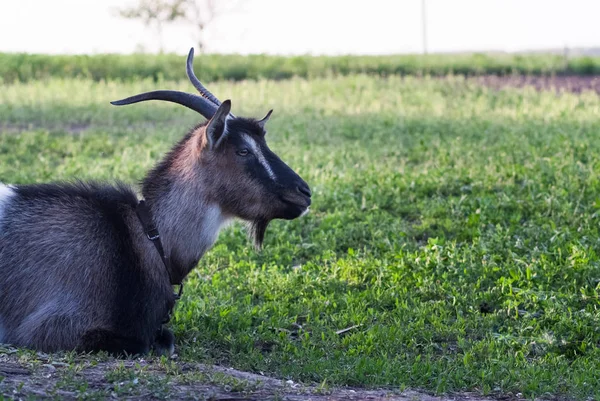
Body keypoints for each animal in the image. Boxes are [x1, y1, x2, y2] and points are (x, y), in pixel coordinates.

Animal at [0, 48, 312, 354]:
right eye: (244, 151)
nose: (304, 192)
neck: (143, 236)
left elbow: (165, 338)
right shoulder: (52, 325)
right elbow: (142, 343)